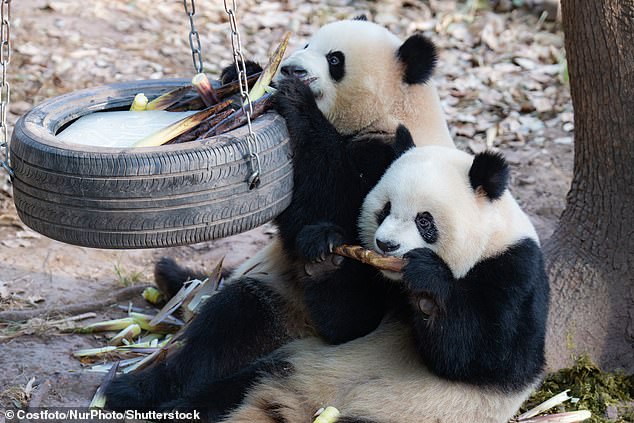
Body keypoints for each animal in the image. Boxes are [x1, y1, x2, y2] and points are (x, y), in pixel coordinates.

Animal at [103, 17, 452, 410]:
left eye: (335, 59)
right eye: (307, 43)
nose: (290, 69)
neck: (393, 110)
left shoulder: (392, 159)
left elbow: (336, 211)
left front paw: (295, 101)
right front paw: (246, 73)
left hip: (292, 314)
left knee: (233, 322)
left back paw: (135, 387)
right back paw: (176, 277)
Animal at [179, 147, 548, 423]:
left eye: (424, 220)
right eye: (384, 210)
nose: (386, 245)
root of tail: (295, 407)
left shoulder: (515, 270)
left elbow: (491, 358)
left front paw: (428, 282)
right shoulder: (379, 286)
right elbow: (350, 324)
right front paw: (323, 250)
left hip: (394, 413)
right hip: (288, 367)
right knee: (221, 371)